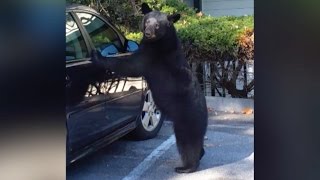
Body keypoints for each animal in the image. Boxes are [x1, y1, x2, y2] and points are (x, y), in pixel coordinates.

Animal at [91, 3, 209, 174]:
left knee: (187, 141)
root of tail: (205, 114)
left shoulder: (151, 56)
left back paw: (187, 167)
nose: (148, 33)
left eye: (158, 25)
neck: (161, 41)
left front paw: (98, 57)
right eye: (147, 21)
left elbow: (130, 65)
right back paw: (200, 154)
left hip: (187, 117)